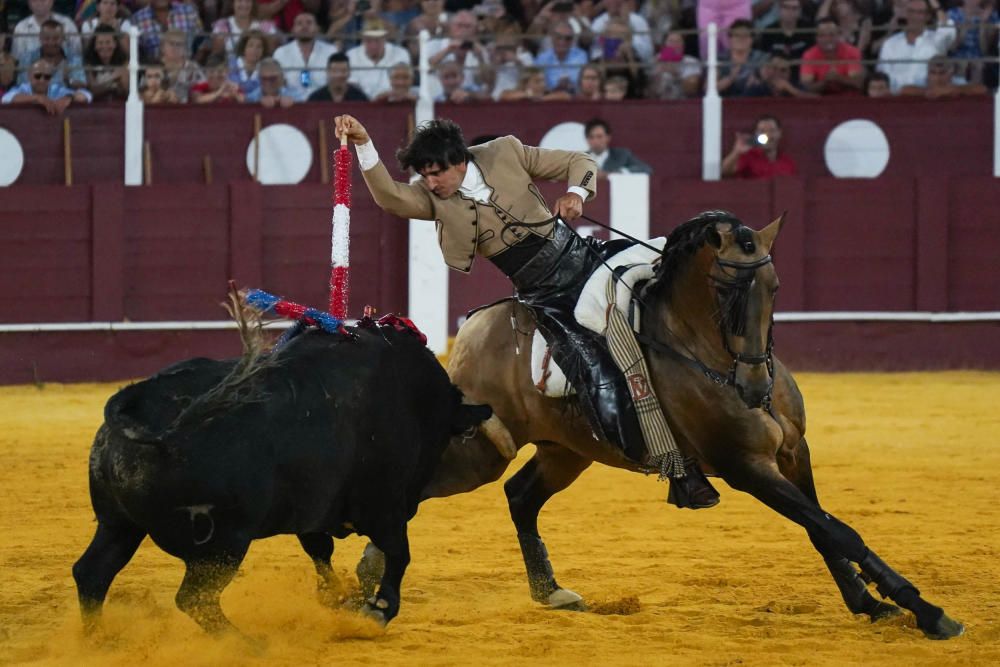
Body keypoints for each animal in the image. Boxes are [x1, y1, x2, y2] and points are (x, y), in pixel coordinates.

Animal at [71, 326, 492, 636]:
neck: (415, 399)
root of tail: (138, 400)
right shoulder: (383, 506)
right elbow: (398, 553)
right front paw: (376, 610)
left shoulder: (313, 508)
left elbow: (321, 551)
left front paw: (339, 599)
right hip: (222, 545)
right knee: (194, 599)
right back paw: (244, 644)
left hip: (118, 524)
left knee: (92, 573)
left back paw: (97, 641)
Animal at [358, 213, 960, 640]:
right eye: (725, 293)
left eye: (776, 288)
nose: (754, 389)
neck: (704, 352)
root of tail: (476, 326)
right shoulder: (747, 468)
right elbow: (837, 529)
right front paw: (928, 612)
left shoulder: (794, 453)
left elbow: (823, 529)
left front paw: (870, 604)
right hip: (483, 449)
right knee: (424, 485)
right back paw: (365, 583)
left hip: (566, 450)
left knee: (520, 496)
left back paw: (549, 591)